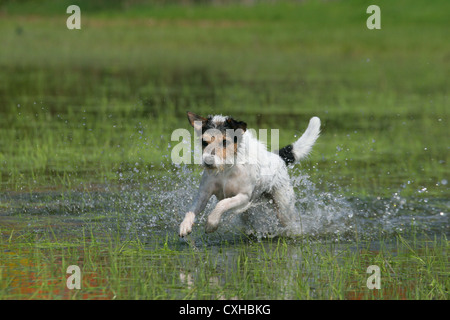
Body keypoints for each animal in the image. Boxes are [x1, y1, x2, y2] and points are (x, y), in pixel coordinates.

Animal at [179, 111, 320, 236]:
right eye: (204, 142)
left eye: (225, 141)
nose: (208, 162)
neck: (227, 168)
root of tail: (278, 157)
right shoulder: (203, 194)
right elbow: (191, 209)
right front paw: (185, 225)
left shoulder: (244, 196)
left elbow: (221, 204)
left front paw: (211, 223)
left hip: (284, 207)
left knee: (290, 221)